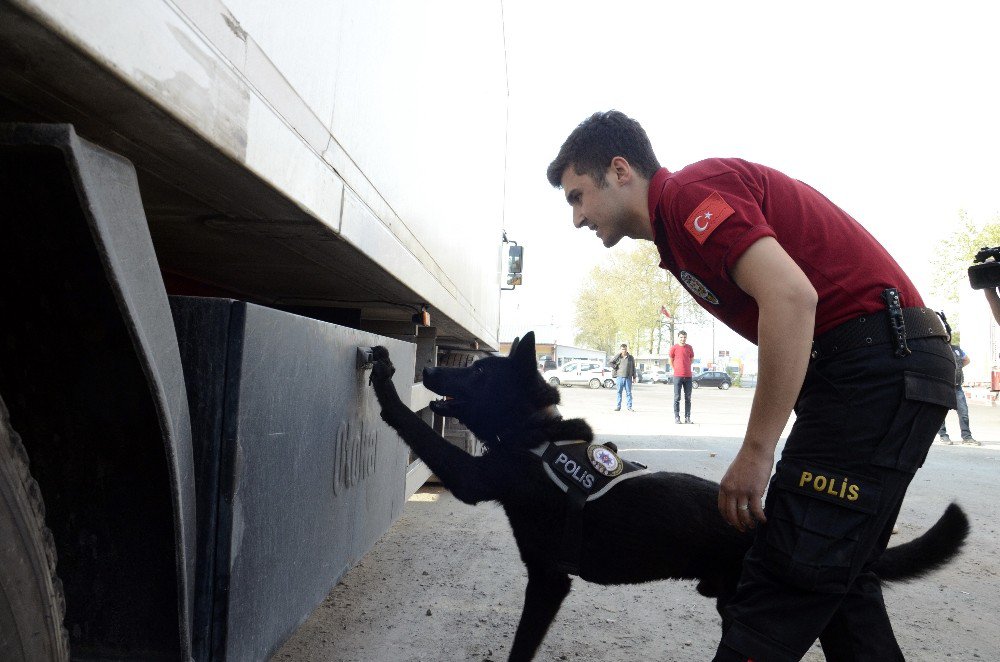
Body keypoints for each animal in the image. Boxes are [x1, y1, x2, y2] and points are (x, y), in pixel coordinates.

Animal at [370, 334, 968, 660]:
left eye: (475, 371)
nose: (429, 367)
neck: (536, 436)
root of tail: (767, 520)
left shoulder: (542, 573)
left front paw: (384, 382)